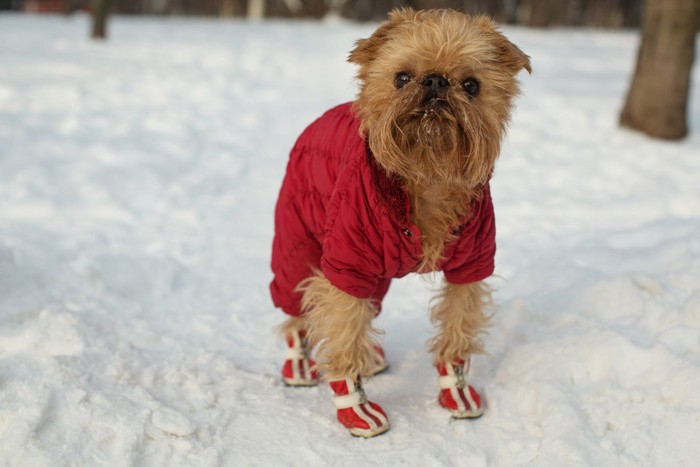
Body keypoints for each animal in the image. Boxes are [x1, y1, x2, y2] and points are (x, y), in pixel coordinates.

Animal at [270, 8, 532, 438]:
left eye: (472, 85)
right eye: (402, 78)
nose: (436, 80)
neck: (427, 175)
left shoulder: (471, 265)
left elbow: (457, 327)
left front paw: (456, 388)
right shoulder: (347, 263)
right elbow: (343, 330)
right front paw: (355, 406)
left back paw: (372, 357)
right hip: (299, 237)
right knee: (299, 300)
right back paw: (301, 361)